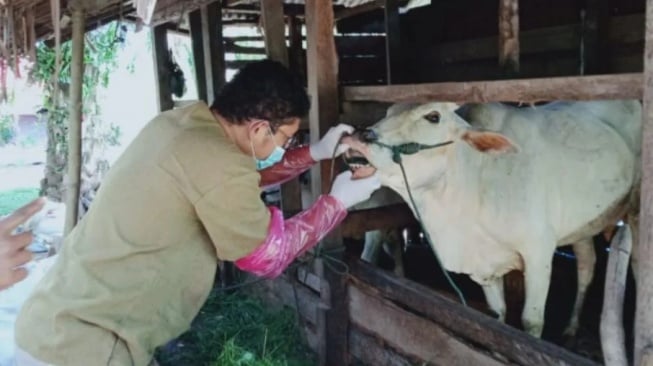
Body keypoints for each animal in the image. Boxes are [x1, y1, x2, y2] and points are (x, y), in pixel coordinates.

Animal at [344, 99, 640, 338]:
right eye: (388, 112)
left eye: (433, 116)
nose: (359, 136)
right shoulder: (483, 268)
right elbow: (498, 314)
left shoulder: (538, 253)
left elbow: (531, 321)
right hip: (583, 225)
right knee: (587, 266)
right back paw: (571, 326)